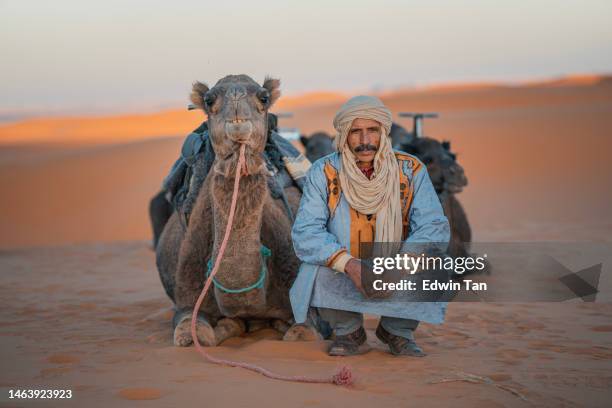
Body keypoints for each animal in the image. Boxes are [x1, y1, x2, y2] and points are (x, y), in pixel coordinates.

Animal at [155, 74, 318, 348]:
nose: (237, 110)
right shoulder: (187, 300)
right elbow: (191, 333)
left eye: (264, 97)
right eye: (209, 100)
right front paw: (224, 327)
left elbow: (302, 333)